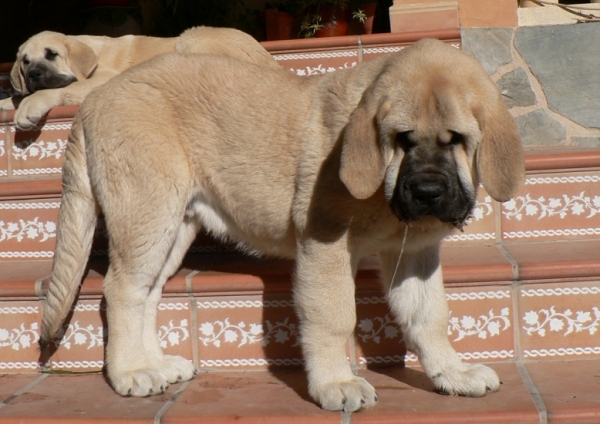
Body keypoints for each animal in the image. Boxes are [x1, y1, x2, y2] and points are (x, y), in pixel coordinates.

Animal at [1, 26, 278, 129]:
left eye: (52, 54)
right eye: (25, 61)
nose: (34, 74)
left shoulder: (103, 78)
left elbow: (53, 90)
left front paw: (30, 106)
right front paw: (8, 101)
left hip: (191, 38)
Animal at [39, 39, 524, 410]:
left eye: (456, 140)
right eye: (402, 140)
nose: (426, 192)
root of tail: (91, 101)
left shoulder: (415, 254)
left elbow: (430, 317)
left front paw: (451, 373)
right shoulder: (325, 243)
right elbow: (334, 317)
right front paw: (335, 383)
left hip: (172, 225)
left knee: (147, 291)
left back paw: (154, 364)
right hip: (147, 211)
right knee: (121, 289)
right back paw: (131, 372)